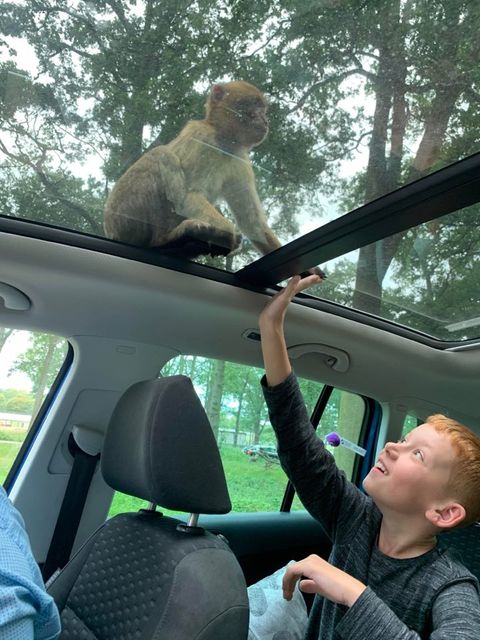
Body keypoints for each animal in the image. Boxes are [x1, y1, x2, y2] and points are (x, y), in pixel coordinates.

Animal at [104, 80, 288, 260]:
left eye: (262, 108)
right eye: (252, 105)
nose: (265, 119)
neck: (223, 141)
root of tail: (111, 231)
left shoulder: (241, 161)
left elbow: (252, 223)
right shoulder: (201, 138)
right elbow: (189, 196)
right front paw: (228, 233)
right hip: (124, 217)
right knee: (163, 154)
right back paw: (167, 239)